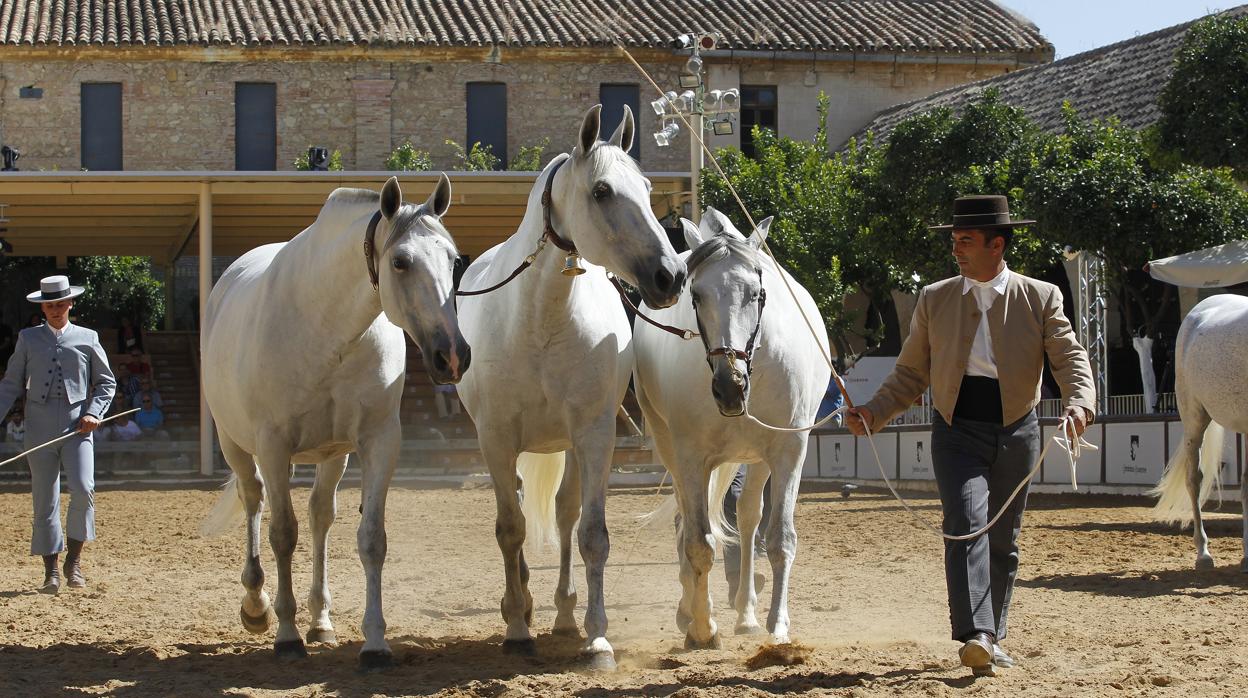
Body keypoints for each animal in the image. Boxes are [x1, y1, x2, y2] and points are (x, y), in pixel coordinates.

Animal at [197, 173, 469, 664]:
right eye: (400, 261)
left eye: (453, 260)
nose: (452, 356)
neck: (328, 328)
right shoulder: (273, 445)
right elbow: (283, 534)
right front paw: (286, 635)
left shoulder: (378, 442)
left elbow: (371, 539)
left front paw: (375, 643)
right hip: (236, 444)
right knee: (254, 500)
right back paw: (256, 605)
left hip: (331, 456)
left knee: (320, 516)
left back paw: (320, 620)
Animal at [459, 103, 688, 674]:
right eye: (602, 191)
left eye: (647, 188)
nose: (670, 276)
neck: (540, 319)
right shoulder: (496, 438)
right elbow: (510, 529)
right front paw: (517, 630)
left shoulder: (594, 435)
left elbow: (591, 535)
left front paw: (597, 639)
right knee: (519, 516)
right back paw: (520, 604)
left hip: (565, 445)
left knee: (564, 516)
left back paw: (563, 613)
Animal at [633, 208, 828, 649]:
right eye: (696, 296)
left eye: (757, 294)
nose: (729, 386)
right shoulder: (691, 456)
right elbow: (699, 543)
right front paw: (703, 628)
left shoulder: (789, 451)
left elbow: (779, 539)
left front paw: (778, 627)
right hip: (671, 449)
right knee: (687, 520)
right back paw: (690, 611)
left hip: (755, 459)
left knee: (747, 518)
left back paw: (746, 614)